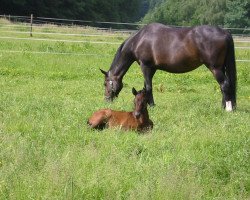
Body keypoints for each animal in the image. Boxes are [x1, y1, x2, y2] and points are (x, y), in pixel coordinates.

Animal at [99, 23, 236, 111]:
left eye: (105, 83)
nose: (106, 100)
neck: (139, 40)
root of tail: (225, 33)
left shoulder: (145, 66)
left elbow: (148, 87)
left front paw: (152, 106)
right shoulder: (152, 68)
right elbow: (145, 87)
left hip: (215, 68)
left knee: (224, 85)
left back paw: (227, 109)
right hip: (221, 68)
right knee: (225, 86)